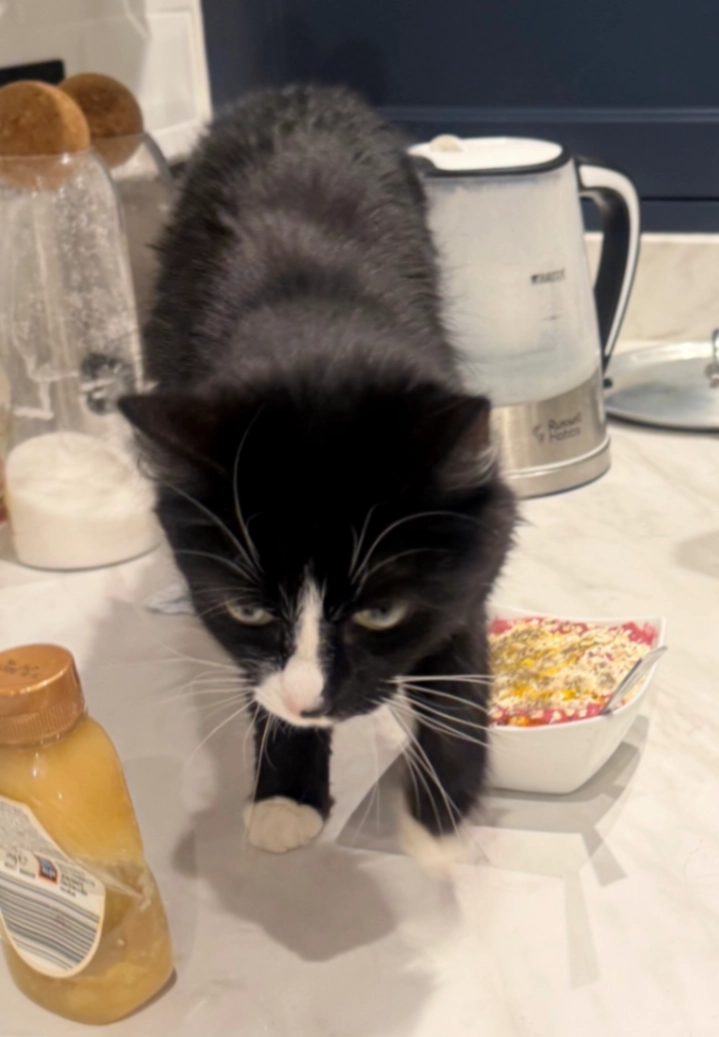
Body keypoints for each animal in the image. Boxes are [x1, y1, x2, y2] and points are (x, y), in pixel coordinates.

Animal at [120, 84, 517, 868]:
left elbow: (459, 653)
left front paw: (439, 817)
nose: (307, 701)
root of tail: (300, 91)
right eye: (248, 611)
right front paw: (286, 794)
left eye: (380, 613)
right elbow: (256, 672)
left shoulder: (472, 541)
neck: (314, 336)